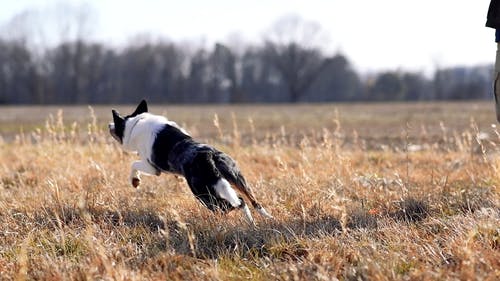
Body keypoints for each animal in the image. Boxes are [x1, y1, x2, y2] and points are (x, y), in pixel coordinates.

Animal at [108, 99, 274, 224]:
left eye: (116, 123)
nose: (109, 125)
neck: (136, 122)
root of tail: (210, 155)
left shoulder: (152, 168)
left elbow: (133, 164)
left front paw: (135, 181)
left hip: (202, 193)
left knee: (235, 203)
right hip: (237, 179)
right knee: (253, 201)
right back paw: (262, 219)